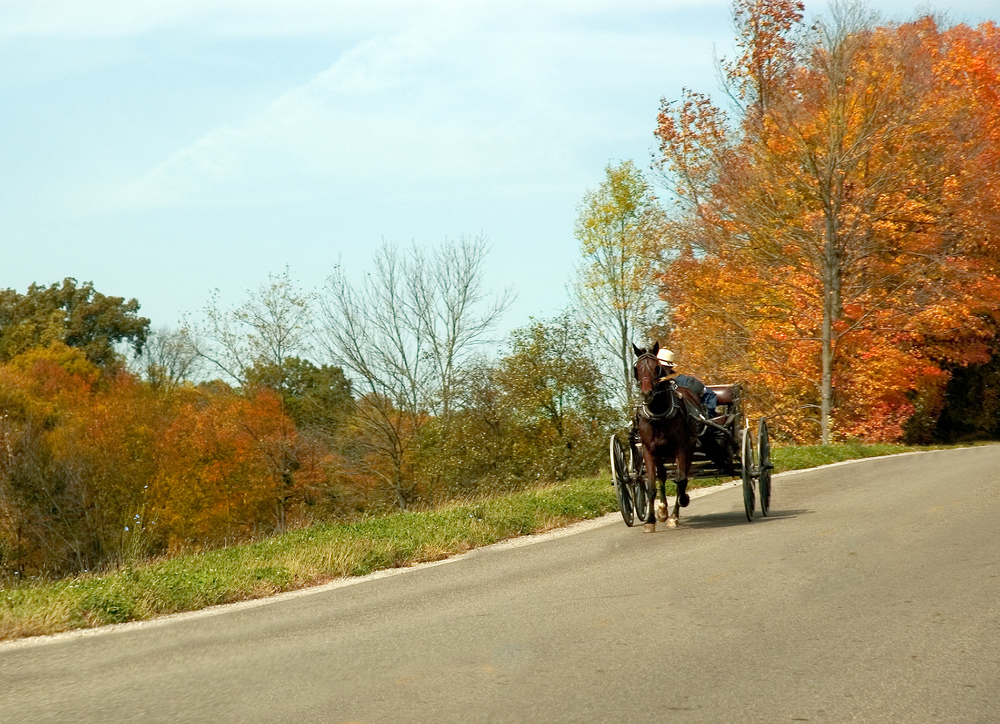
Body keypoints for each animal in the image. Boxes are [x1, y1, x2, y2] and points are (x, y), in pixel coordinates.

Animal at [632, 340, 704, 532]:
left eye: (656, 367)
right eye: (637, 368)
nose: (647, 393)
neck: (658, 414)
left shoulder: (680, 448)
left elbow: (681, 480)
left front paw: (675, 514)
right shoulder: (649, 451)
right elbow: (651, 485)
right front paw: (650, 520)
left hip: (689, 448)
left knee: (682, 477)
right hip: (660, 454)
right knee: (663, 476)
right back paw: (662, 510)